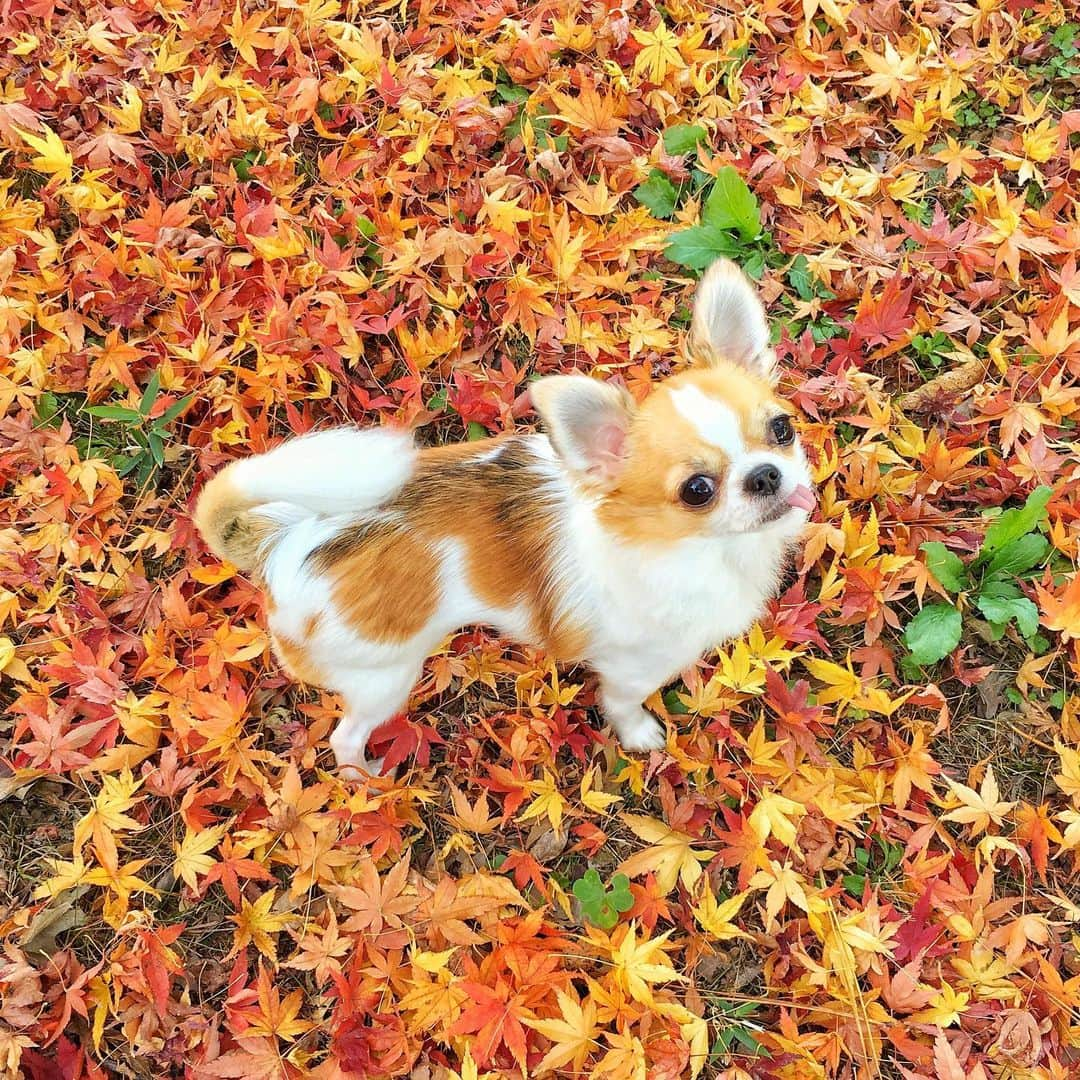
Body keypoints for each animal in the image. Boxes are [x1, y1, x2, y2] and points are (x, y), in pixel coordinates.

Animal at [196, 257, 816, 773]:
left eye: (782, 429)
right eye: (697, 490)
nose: (765, 475)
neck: (698, 550)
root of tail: (282, 541)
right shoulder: (630, 666)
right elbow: (622, 703)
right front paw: (639, 734)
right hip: (383, 678)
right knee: (344, 736)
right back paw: (365, 778)